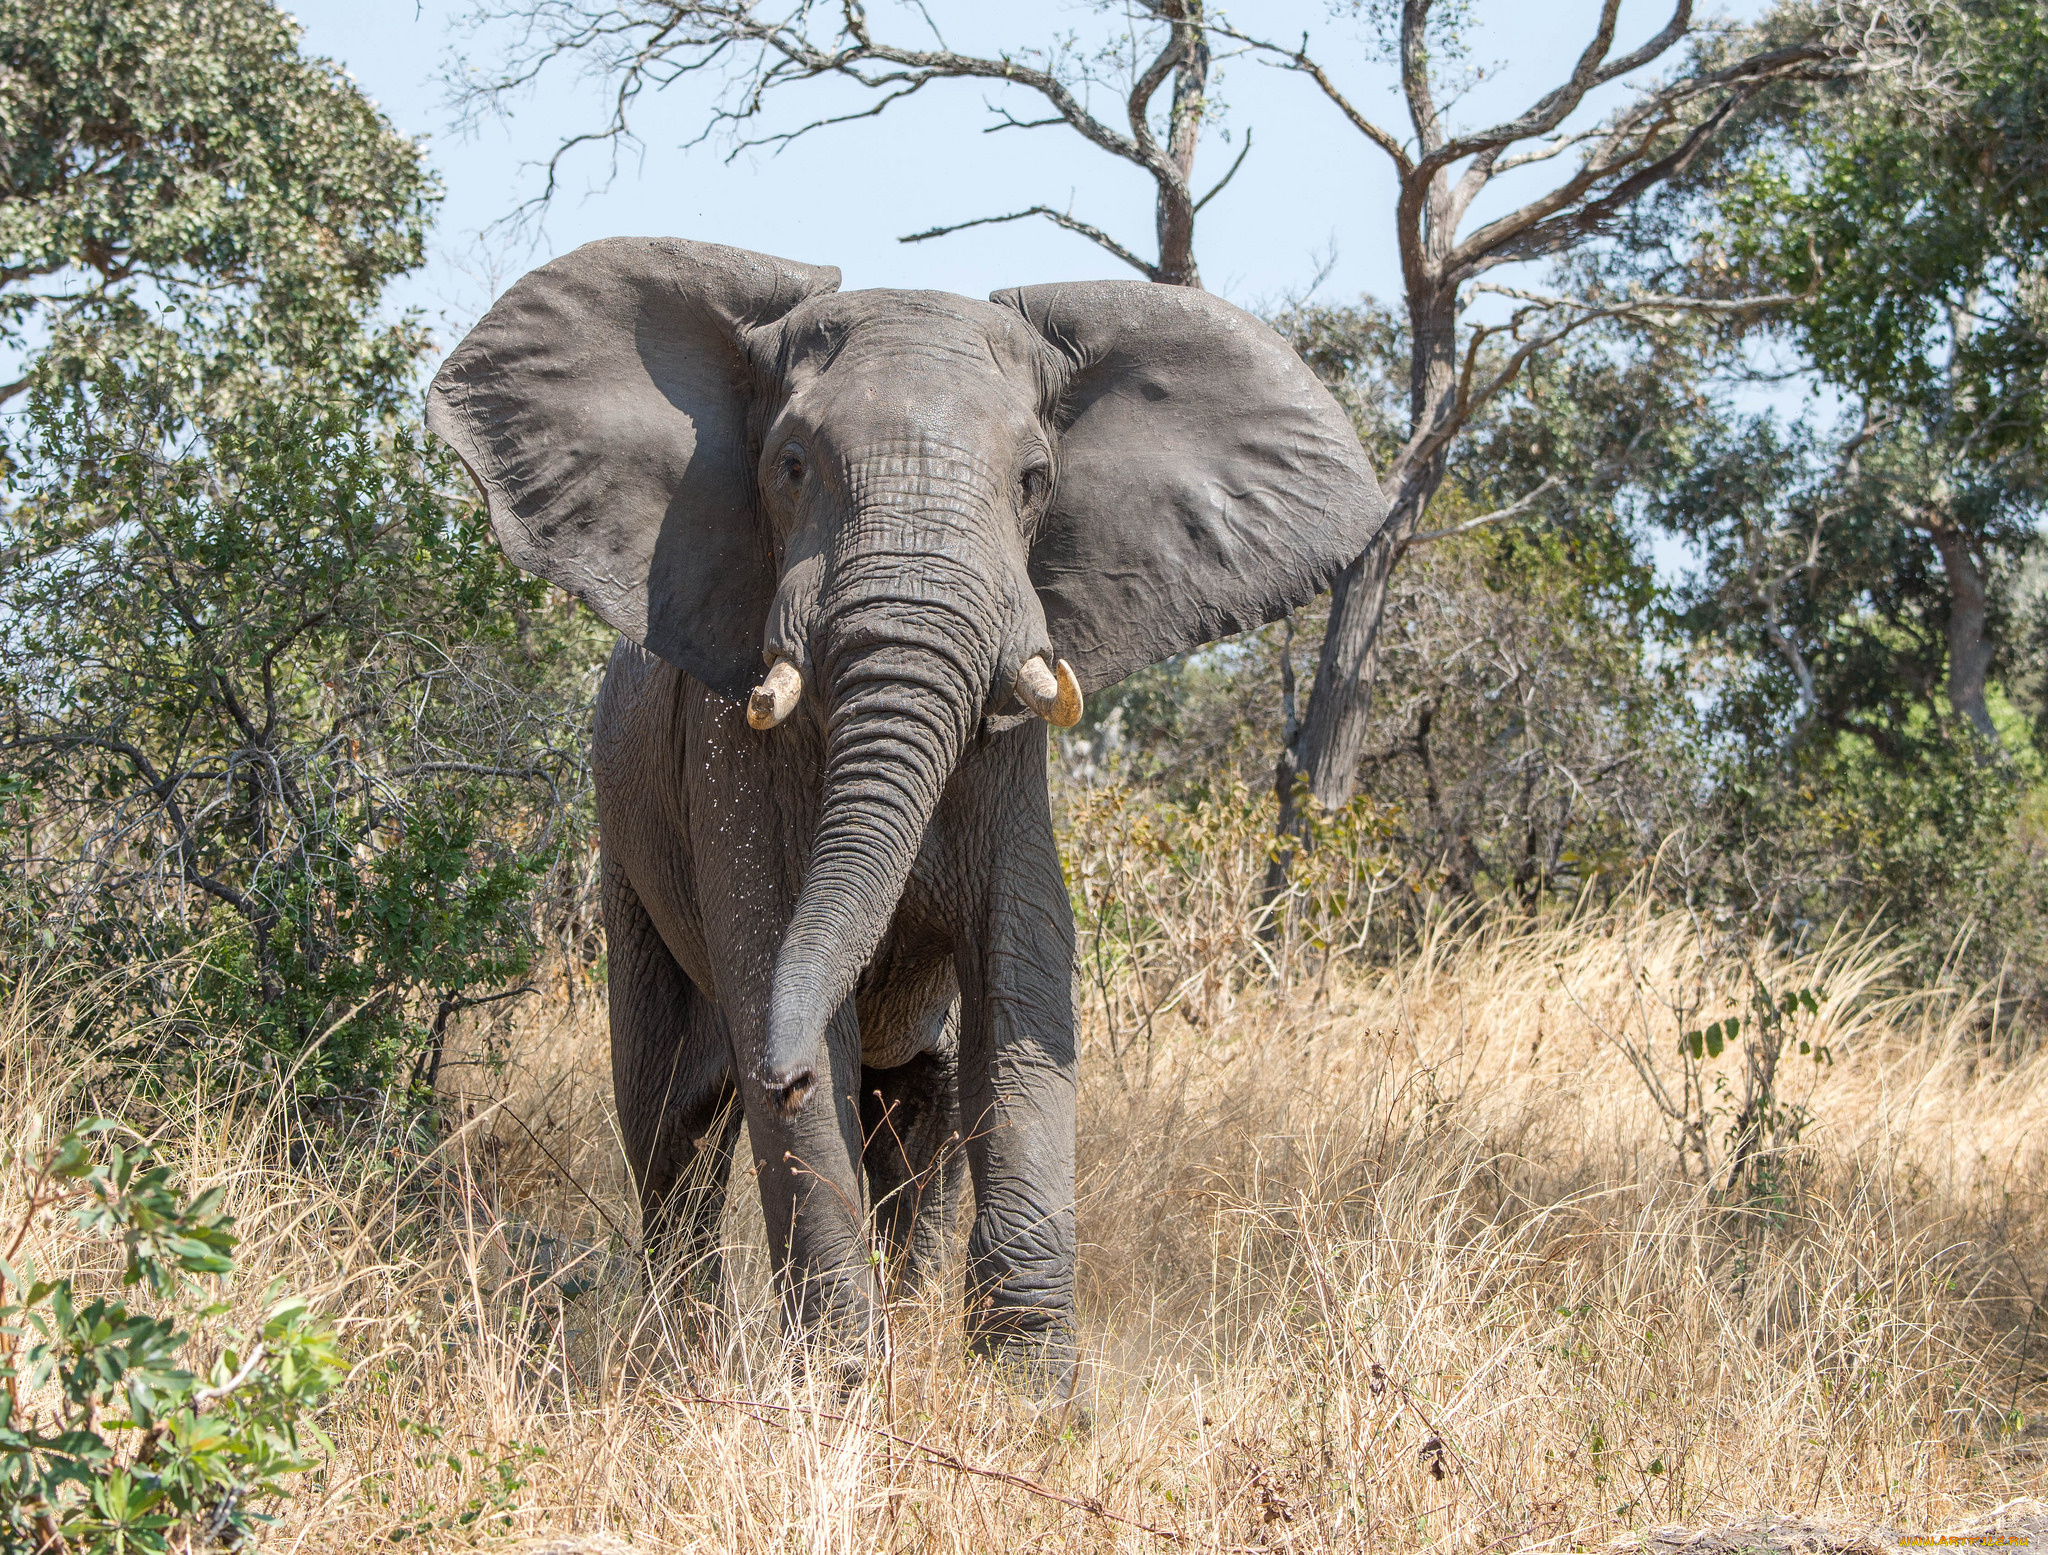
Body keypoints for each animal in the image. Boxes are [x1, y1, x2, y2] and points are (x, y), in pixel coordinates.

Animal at [428, 237, 1392, 1376]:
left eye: (1033, 479)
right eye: (791, 464)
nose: (782, 1074)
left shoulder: (1011, 763)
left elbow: (1019, 991)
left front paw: (1026, 1390)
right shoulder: (727, 755)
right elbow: (778, 987)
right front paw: (840, 1384)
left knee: (919, 1117)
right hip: (623, 853)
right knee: (669, 1123)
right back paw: (685, 1353)